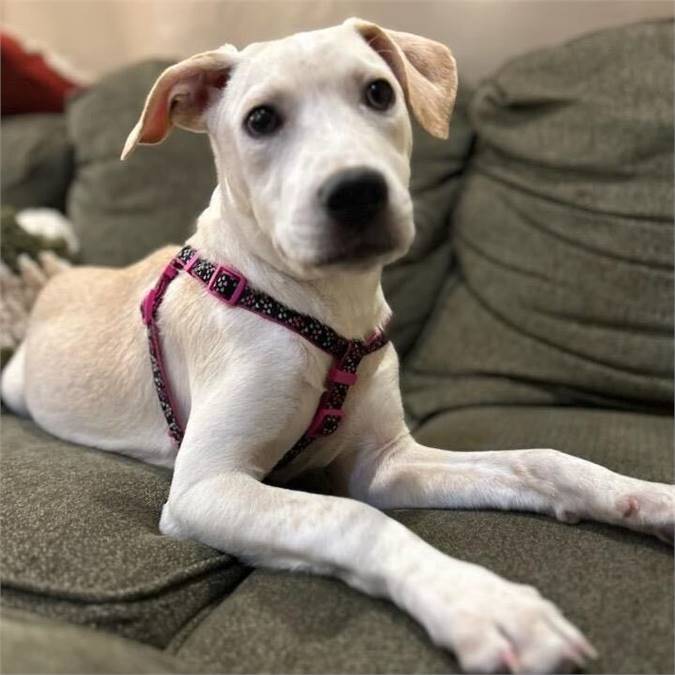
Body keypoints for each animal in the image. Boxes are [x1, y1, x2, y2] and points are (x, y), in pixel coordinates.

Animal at [2, 17, 672, 675]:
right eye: (260, 119)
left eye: (379, 92)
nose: (357, 193)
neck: (325, 313)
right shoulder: (204, 489)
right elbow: (352, 517)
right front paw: (486, 605)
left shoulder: (386, 463)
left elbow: (540, 459)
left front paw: (646, 497)